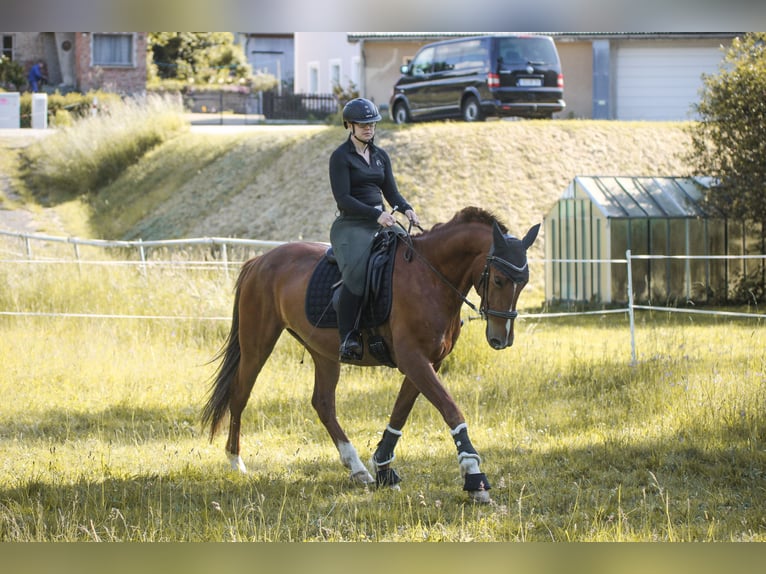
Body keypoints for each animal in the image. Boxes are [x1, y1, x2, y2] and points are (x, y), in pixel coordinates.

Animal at [202, 206, 539, 503]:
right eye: (499, 279)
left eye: (523, 282)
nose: (501, 339)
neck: (431, 277)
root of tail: (259, 261)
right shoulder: (413, 359)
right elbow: (451, 410)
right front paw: (474, 477)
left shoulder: (428, 361)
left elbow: (401, 411)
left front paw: (383, 467)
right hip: (257, 344)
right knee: (240, 395)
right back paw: (235, 460)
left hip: (324, 353)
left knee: (323, 404)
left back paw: (358, 469)